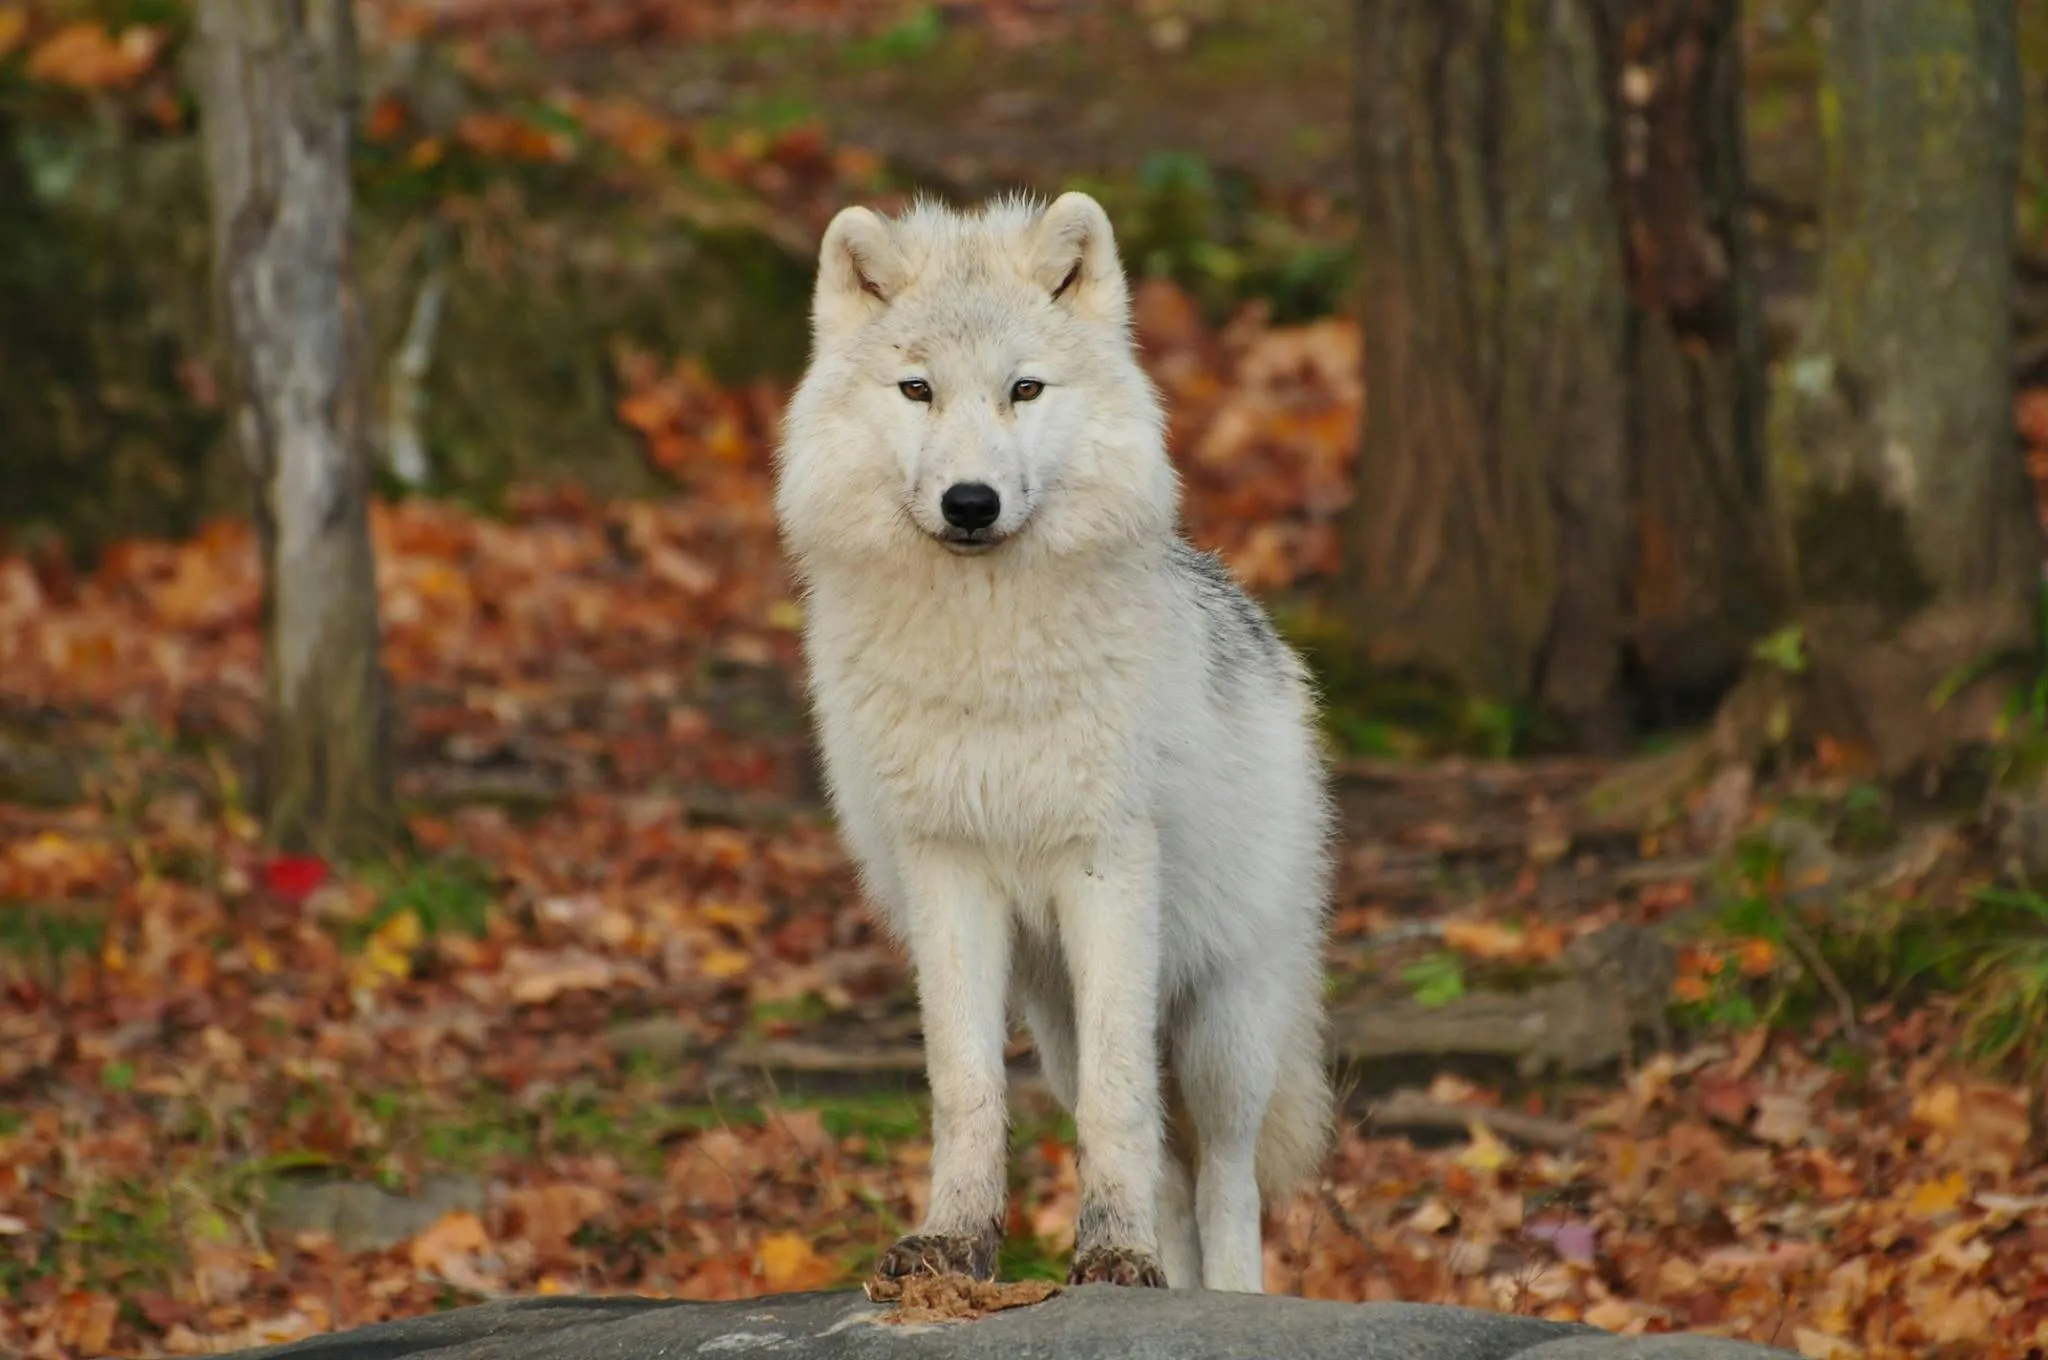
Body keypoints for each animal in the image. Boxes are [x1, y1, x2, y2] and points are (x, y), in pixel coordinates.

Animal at [772, 190, 1335, 1294]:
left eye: (1023, 389)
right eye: (917, 390)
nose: (970, 503)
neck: (987, 658)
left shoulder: (1105, 865)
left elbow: (1123, 1104)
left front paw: (1111, 1252)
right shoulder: (946, 868)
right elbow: (964, 1086)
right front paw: (953, 1242)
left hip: (1222, 1023)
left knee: (1226, 1176)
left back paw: (1225, 1296)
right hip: (1056, 1019)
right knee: (1169, 1171)